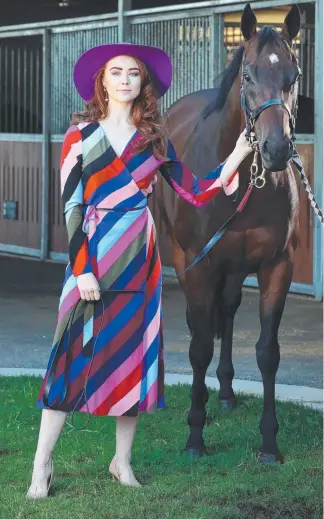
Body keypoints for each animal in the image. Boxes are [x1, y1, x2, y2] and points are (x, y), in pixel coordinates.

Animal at [161, 1, 302, 464]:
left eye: (294, 75)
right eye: (249, 75)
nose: (276, 150)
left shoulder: (277, 266)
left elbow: (268, 352)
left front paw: (270, 445)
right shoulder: (197, 264)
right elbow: (199, 346)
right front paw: (194, 437)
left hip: (236, 269)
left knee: (227, 310)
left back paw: (224, 393)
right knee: (202, 326)